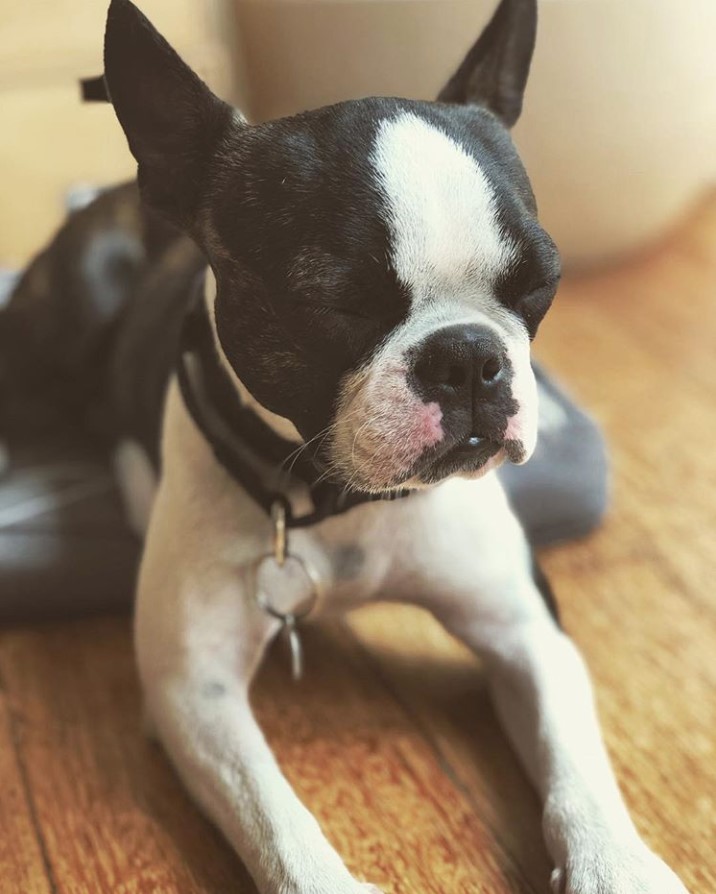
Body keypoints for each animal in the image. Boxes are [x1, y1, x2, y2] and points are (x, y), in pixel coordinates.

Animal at [2, 1, 692, 894]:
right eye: (331, 304)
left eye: (540, 282)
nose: (468, 356)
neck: (339, 503)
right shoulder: (195, 688)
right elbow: (271, 812)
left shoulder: (526, 627)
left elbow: (577, 763)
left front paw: (618, 864)